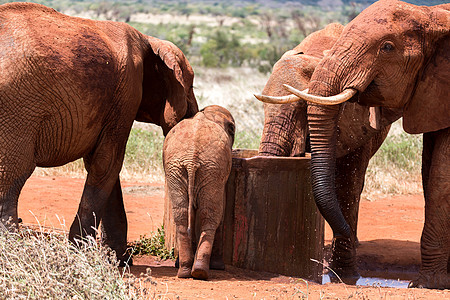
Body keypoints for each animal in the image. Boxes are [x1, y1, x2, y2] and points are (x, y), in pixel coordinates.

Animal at [0, 2, 198, 264]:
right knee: (12, 177)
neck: (149, 40)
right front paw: (82, 254)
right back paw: (14, 254)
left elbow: (101, 163)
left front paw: (118, 259)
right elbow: (108, 162)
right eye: (191, 85)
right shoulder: (127, 93)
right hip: (16, 112)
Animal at [163, 105, 236, 278]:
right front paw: (218, 267)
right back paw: (201, 272)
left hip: (177, 168)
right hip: (209, 168)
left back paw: (184, 270)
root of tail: (191, 159)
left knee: (182, 214)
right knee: (210, 214)